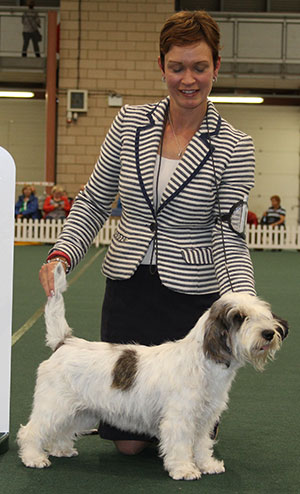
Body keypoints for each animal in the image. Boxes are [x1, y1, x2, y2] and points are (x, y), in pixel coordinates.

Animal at [16, 264, 288, 480]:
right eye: (240, 317)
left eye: (263, 314)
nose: (270, 333)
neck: (202, 363)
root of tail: (65, 341)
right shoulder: (180, 418)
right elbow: (180, 445)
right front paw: (185, 470)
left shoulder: (205, 418)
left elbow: (201, 444)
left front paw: (207, 465)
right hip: (54, 404)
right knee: (31, 430)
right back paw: (33, 458)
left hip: (81, 410)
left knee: (62, 429)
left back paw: (60, 449)